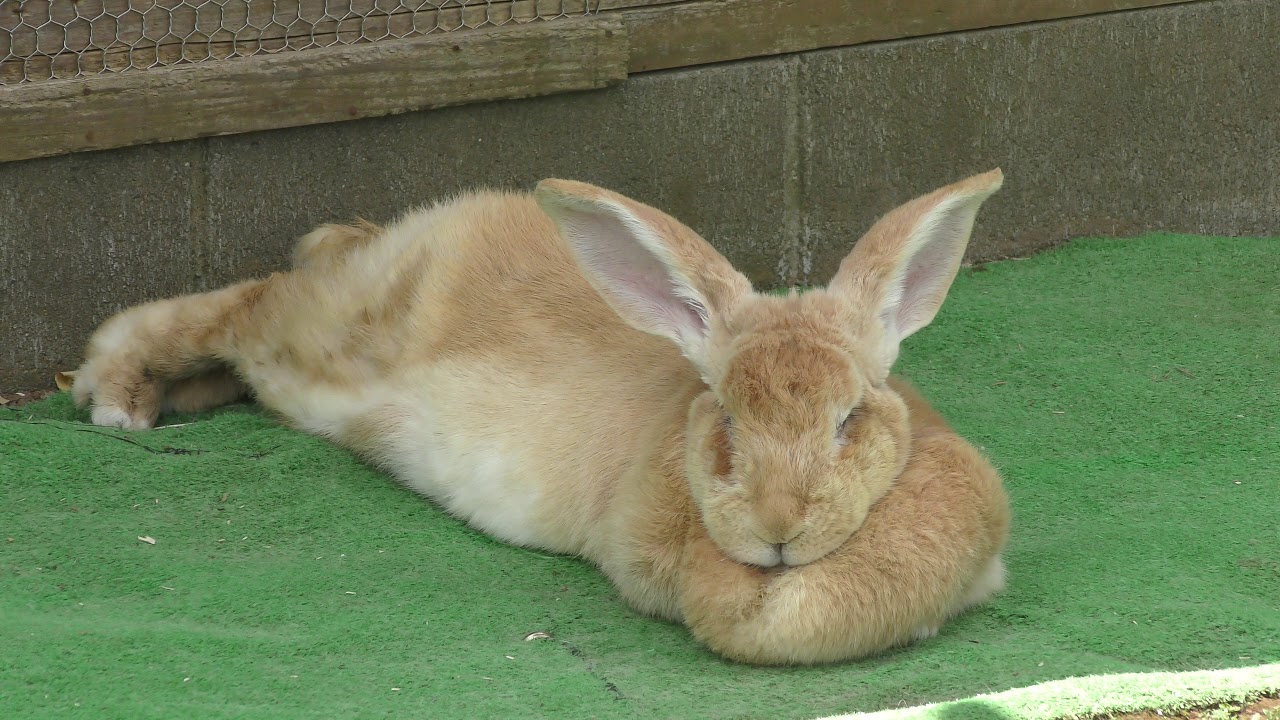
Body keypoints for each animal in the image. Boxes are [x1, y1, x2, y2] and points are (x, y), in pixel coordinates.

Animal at [69, 168, 1011, 665]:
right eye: (728, 422)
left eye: (849, 418)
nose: (778, 529)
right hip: (317, 335)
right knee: (243, 306)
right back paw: (115, 395)